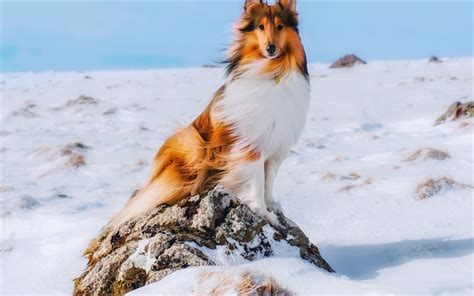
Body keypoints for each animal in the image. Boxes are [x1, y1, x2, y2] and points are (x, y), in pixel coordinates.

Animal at [109, 0, 310, 228]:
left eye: (280, 26)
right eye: (261, 26)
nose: (270, 48)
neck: (272, 70)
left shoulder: (275, 146)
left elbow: (268, 181)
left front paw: (272, 205)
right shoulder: (251, 147)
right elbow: (257, 182)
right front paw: (262, 211)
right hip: (192, 142)